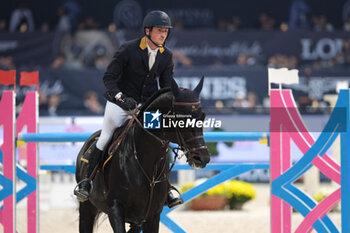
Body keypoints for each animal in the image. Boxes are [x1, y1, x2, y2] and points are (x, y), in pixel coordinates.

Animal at [75, 78, 209, 233]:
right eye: (181, 118)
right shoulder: (115, 208)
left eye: (203, 116)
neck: (146, 163)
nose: (202, 158)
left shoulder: (151, 216)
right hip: (87, 207)